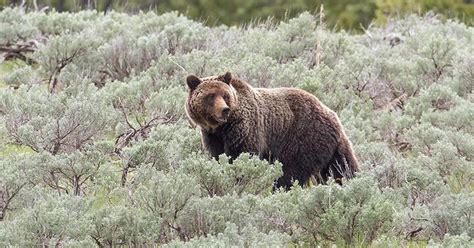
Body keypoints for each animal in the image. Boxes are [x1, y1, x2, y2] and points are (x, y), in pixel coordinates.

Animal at [185, 71, 360, 190]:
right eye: (210, 95)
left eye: (225, 95)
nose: (224, 110)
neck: (222, 128)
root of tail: (331, 114)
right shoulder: (212, 137)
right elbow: (218, 156)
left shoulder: (246, 129)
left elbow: (242, 155)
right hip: (331, 147)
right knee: (341, 167)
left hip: (303, 138)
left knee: (290, 172)